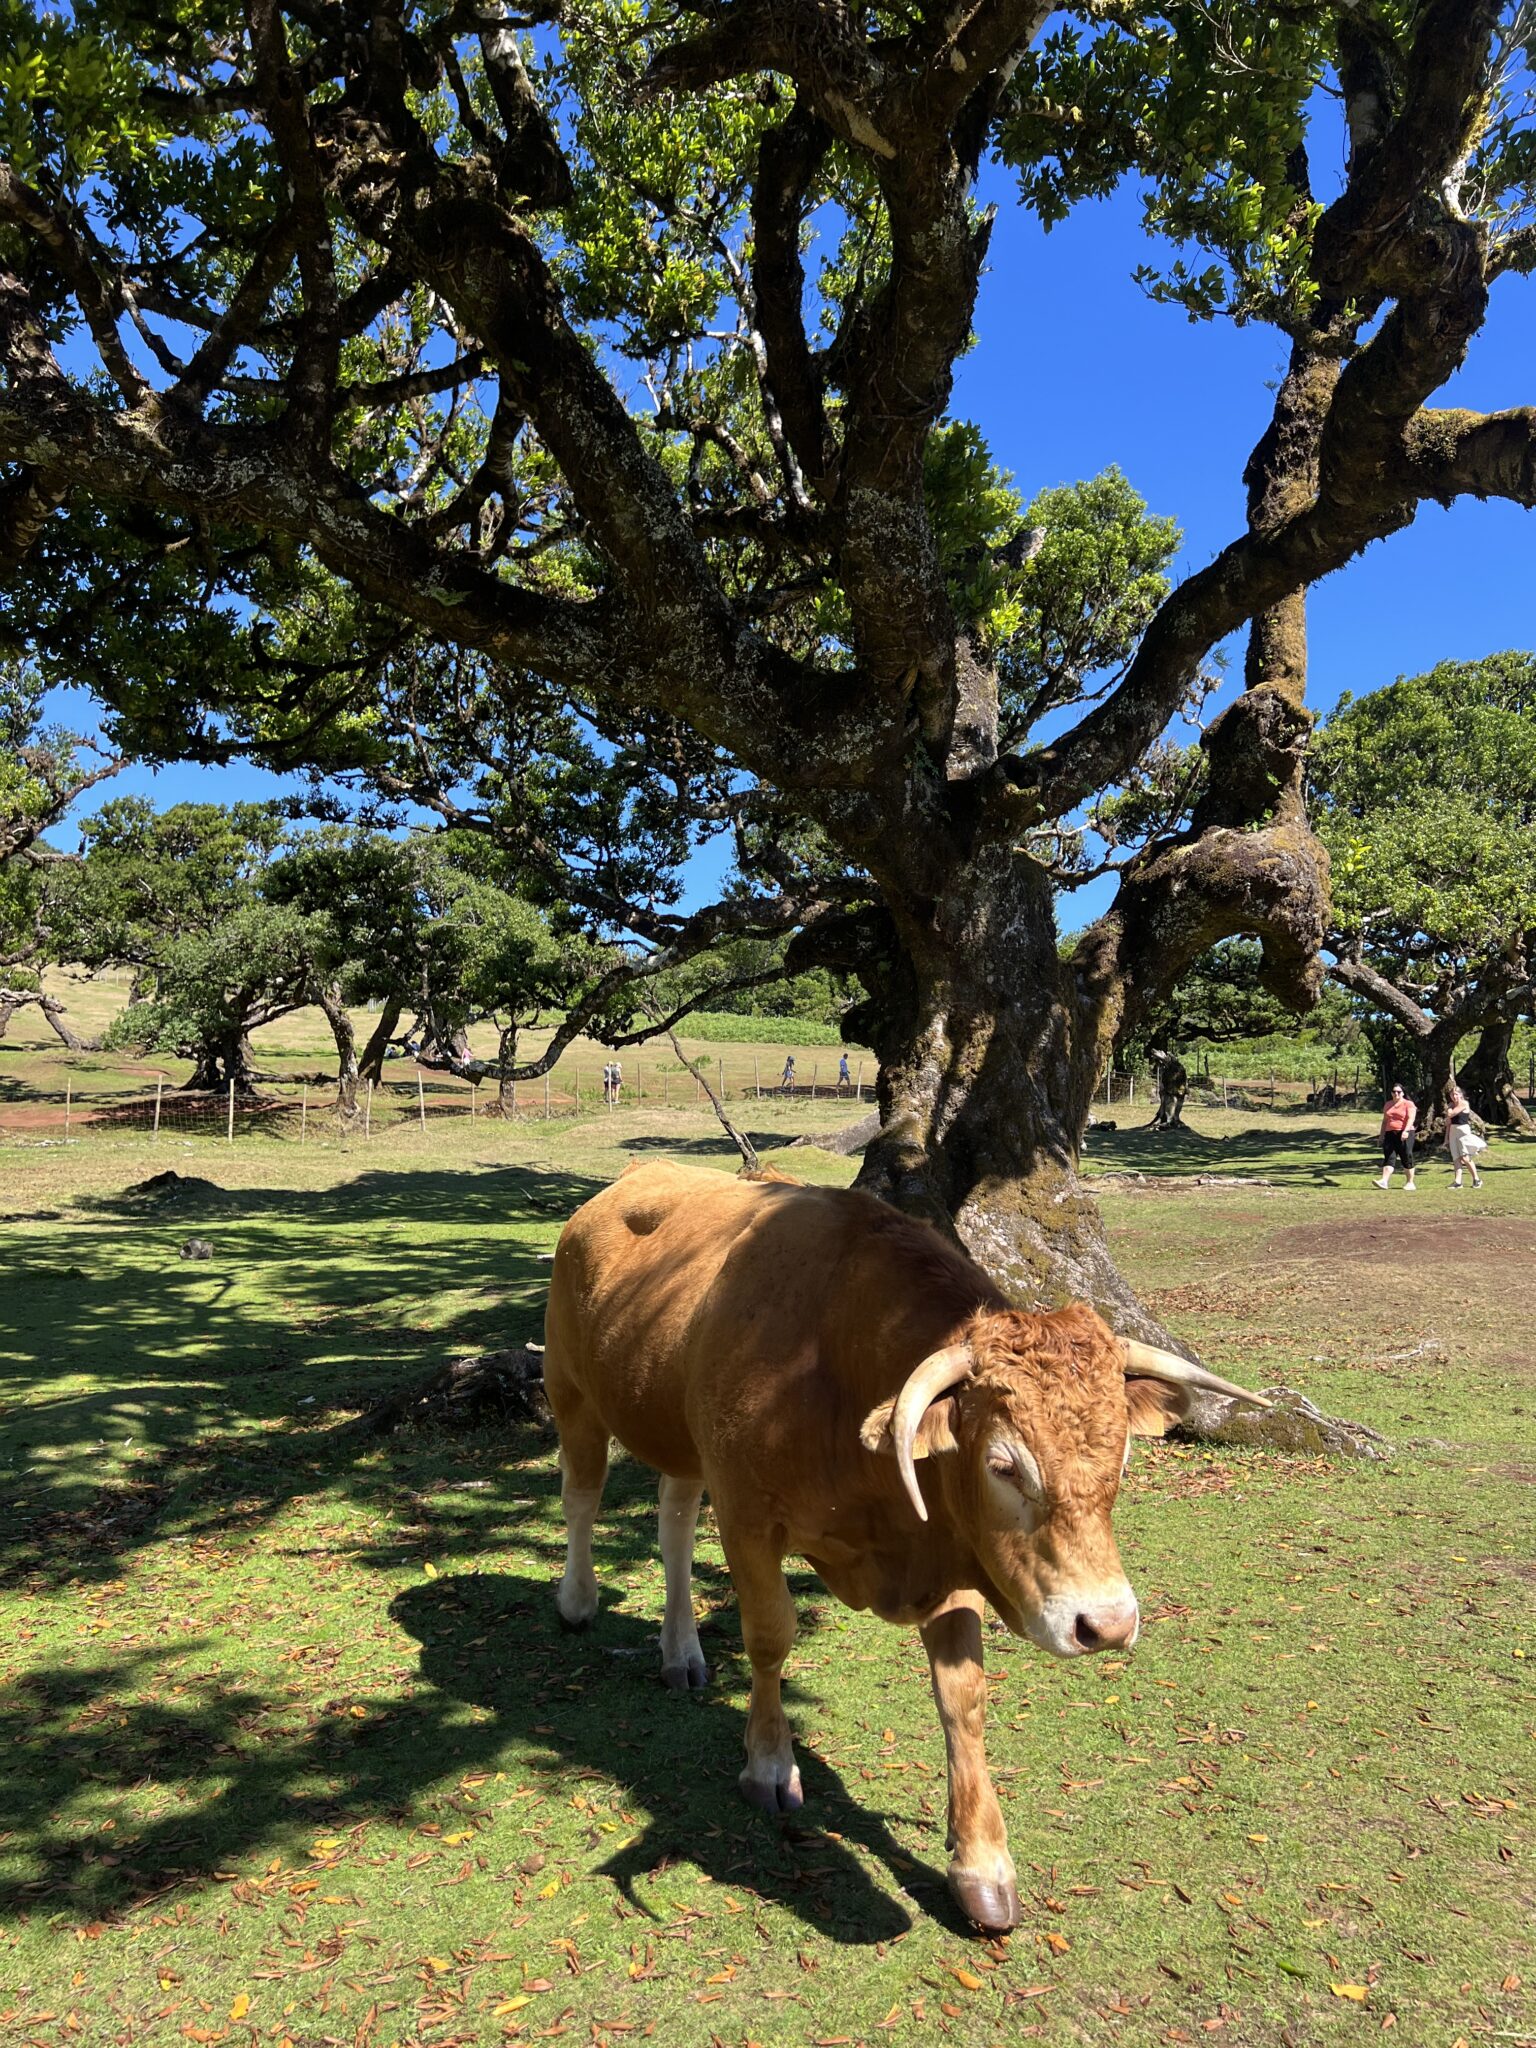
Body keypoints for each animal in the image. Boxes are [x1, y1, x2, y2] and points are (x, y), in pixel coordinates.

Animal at [548, 1163, 1269, 1925]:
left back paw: (681, 1651)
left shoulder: (948, 1554)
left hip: (678, 1436)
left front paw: (982, 1865)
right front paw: (770, 1765)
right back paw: (577, 1599)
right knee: (583, 1495)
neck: (831, 1363)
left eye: (1122, 1456)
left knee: (674, 1517)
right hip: (571, 1389)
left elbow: (962, 1694)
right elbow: (771, 1638)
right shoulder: (748, 1519)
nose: (1105, 1624)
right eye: (1003, 1465)